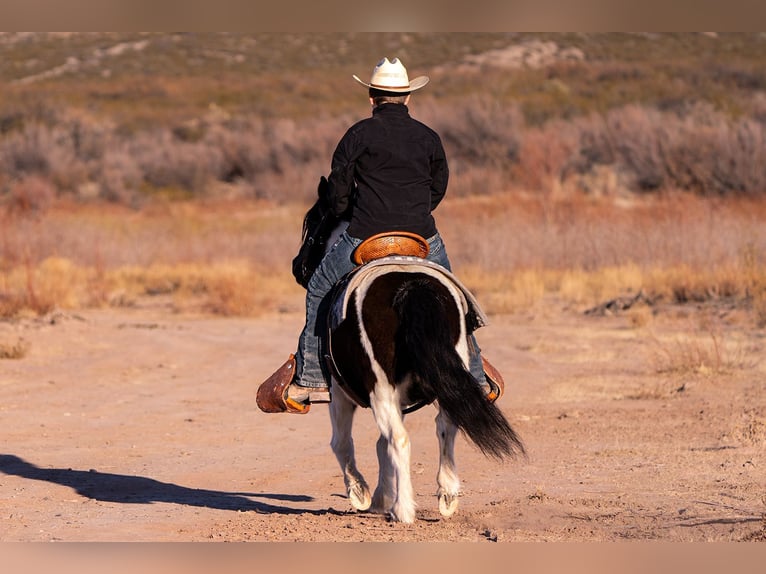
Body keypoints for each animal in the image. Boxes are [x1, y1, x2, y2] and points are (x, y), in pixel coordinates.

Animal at [296, 181, 528, 528]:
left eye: (312, 222)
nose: (298, 267)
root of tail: (411, 286)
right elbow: (380, 445)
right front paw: (380, 497)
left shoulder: (340, 394)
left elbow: (343, 443)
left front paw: (362, 494)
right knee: (446, 425)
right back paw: (446, 496)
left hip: (378, 390)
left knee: (399, 440)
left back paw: (404, 509)